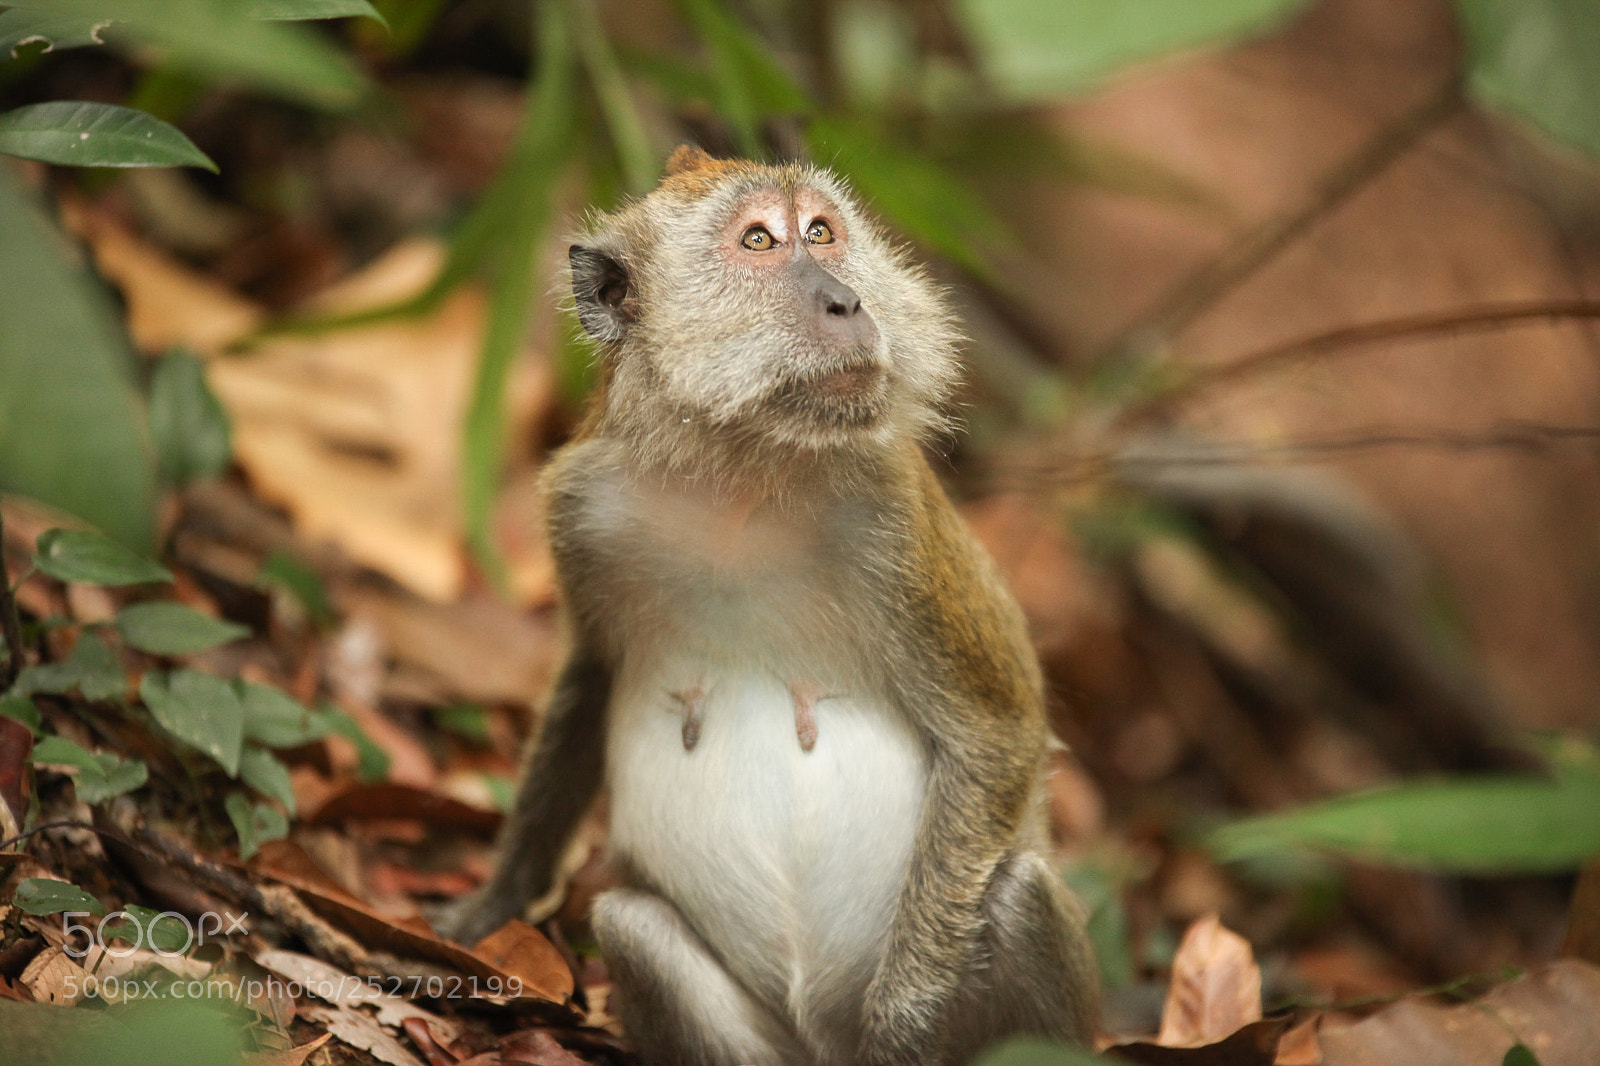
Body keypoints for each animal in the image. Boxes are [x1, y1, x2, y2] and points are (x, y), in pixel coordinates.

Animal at [435, 145, 1098, 1065]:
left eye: (821, 232)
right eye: (759, 240)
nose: (846, 298)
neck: (740, 474)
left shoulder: (894, 524)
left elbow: (993, 737)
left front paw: (904, 1023)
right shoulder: (583, 508)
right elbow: (592, 680)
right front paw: (494, 905)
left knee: (1017, 891)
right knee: (631, 923)